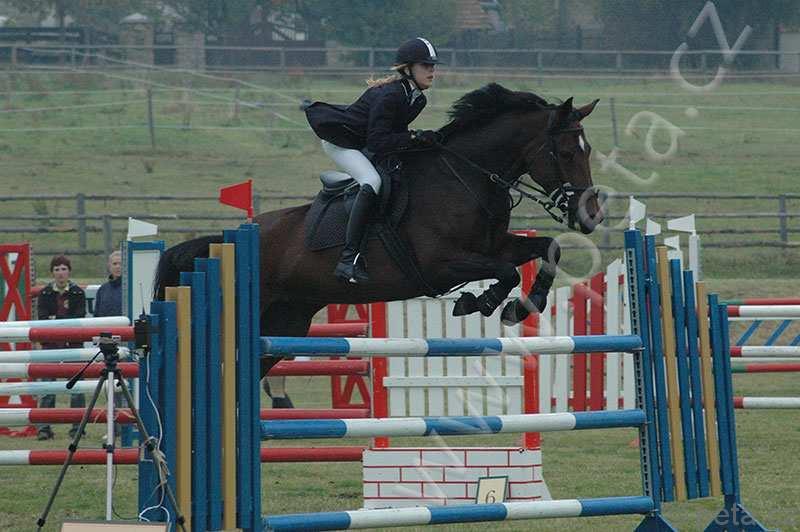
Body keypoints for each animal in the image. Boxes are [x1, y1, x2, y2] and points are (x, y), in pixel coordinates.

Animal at [154, 83, 604, 404]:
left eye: (588, 149)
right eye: (566, 152)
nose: (591, 216)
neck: (467, 177)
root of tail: (227, 241)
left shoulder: (496, 246)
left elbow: (547, 249)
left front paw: (522, 306)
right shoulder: (441, 265)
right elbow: (506, 272)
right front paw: (482, 302)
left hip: (286, 320)